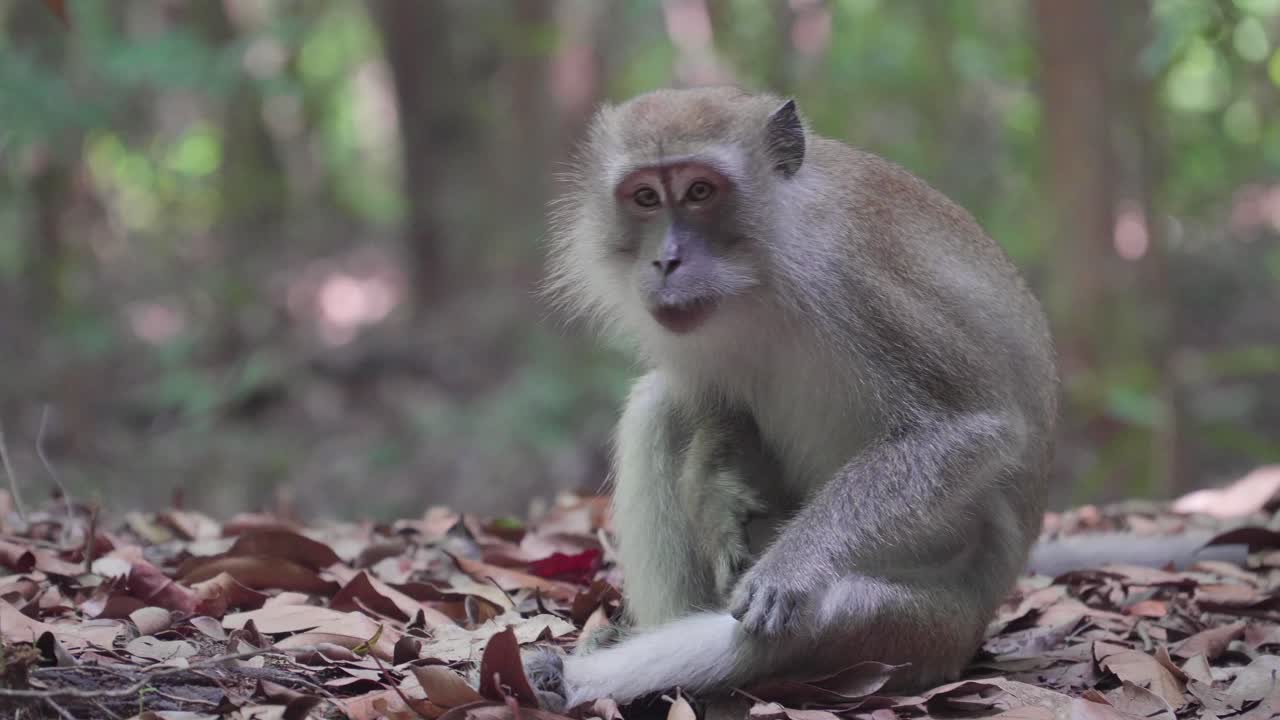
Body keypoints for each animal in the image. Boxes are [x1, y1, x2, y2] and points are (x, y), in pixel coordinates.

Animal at [527, 86, 1248, 710]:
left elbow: (970, 429)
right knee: (657, 410)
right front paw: (717, 491)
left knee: (815, 618)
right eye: (646, 197)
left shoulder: (854, 284)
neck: (759, 277)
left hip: (936, 633)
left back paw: (569, 677)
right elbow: (708, 405)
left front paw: (791, 565)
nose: (666, 261)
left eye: (701, 191)